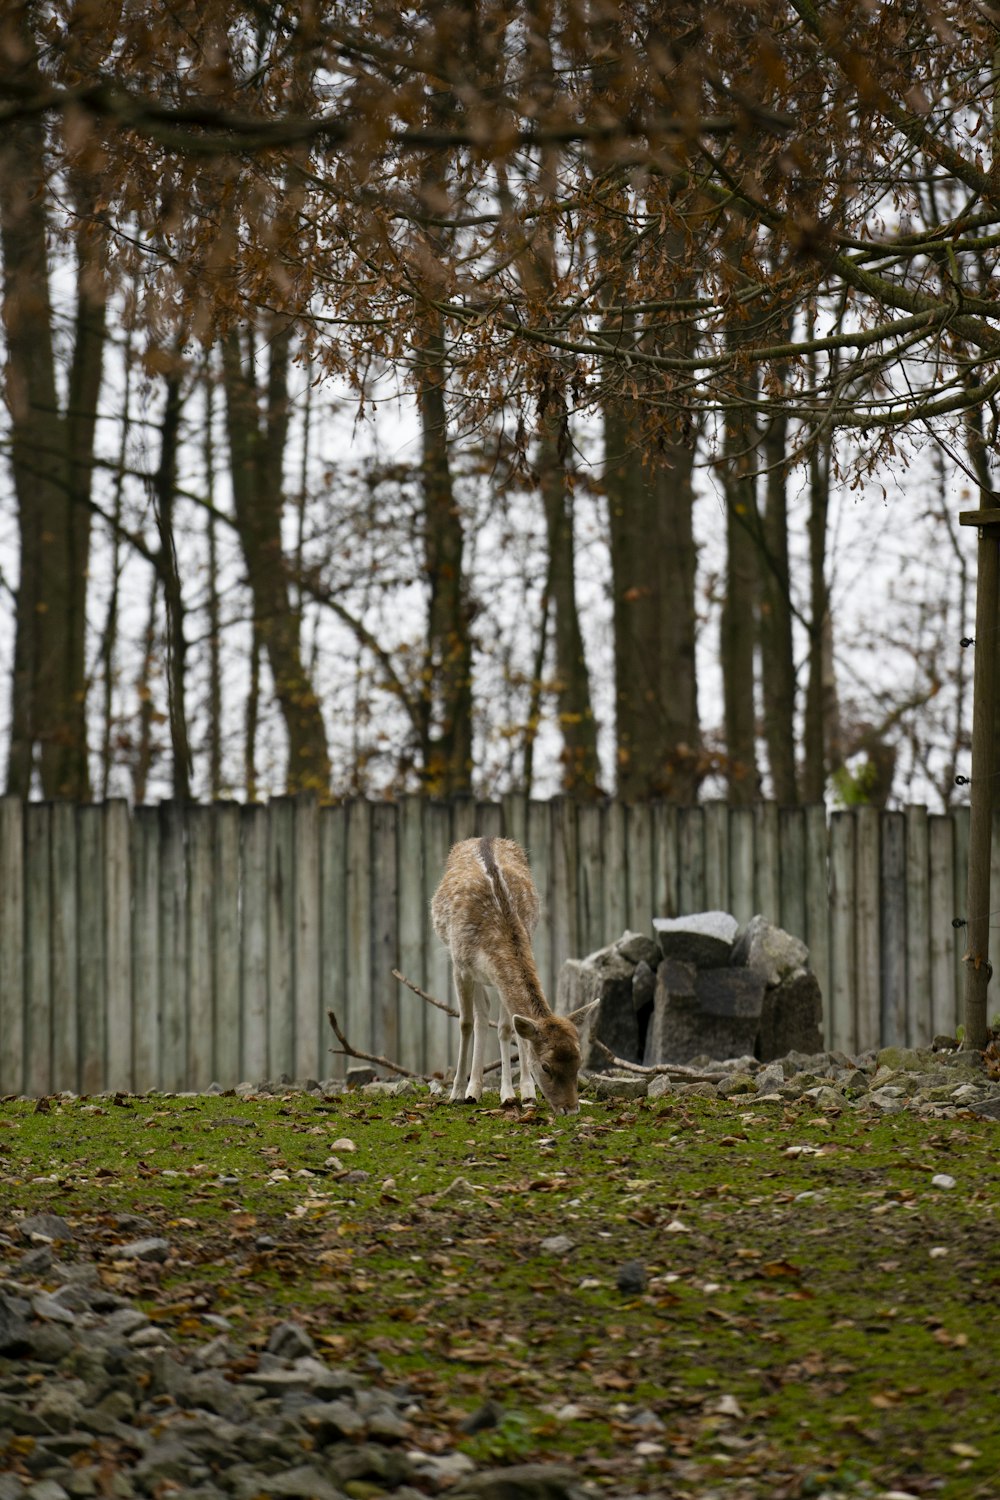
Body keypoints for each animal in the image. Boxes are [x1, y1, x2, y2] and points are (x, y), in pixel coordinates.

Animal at [428, 834, 593, 1116]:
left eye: (579, 1061)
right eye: (546, 1066)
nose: (570, 1110)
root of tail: (483, 837)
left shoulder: (500, 973)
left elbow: (508, 1028)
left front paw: (514, 1093)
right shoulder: (461, 967)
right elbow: (465, 1023)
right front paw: (457, 1092)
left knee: (490, 1016)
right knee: (480, 1016)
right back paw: (472, 1089)